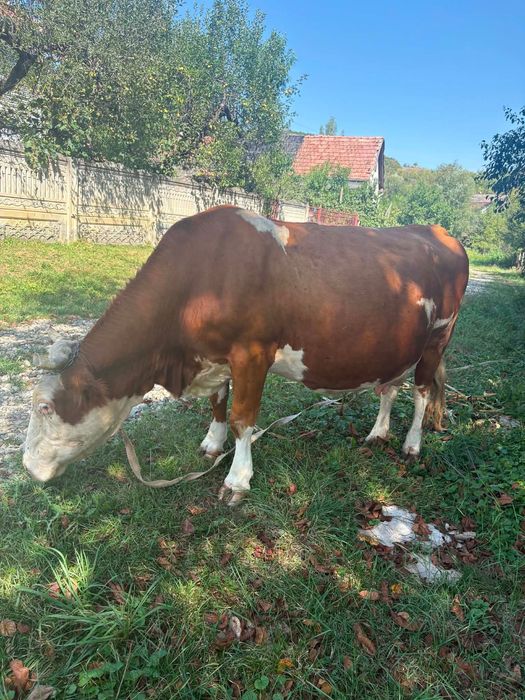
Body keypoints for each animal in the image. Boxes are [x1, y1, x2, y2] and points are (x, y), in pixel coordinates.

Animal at [23, 206, 469, 504]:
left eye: (45, 407)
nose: (26, 466)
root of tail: (440, 231)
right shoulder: (214, 358)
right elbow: (218, 405)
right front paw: (211, 445)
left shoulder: (252, 353)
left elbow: (242, 418)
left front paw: (237, 480)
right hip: (397, 345)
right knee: (389, 388)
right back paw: (378, 433)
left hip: (439, 335)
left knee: (422, 392)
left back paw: (412, 445)